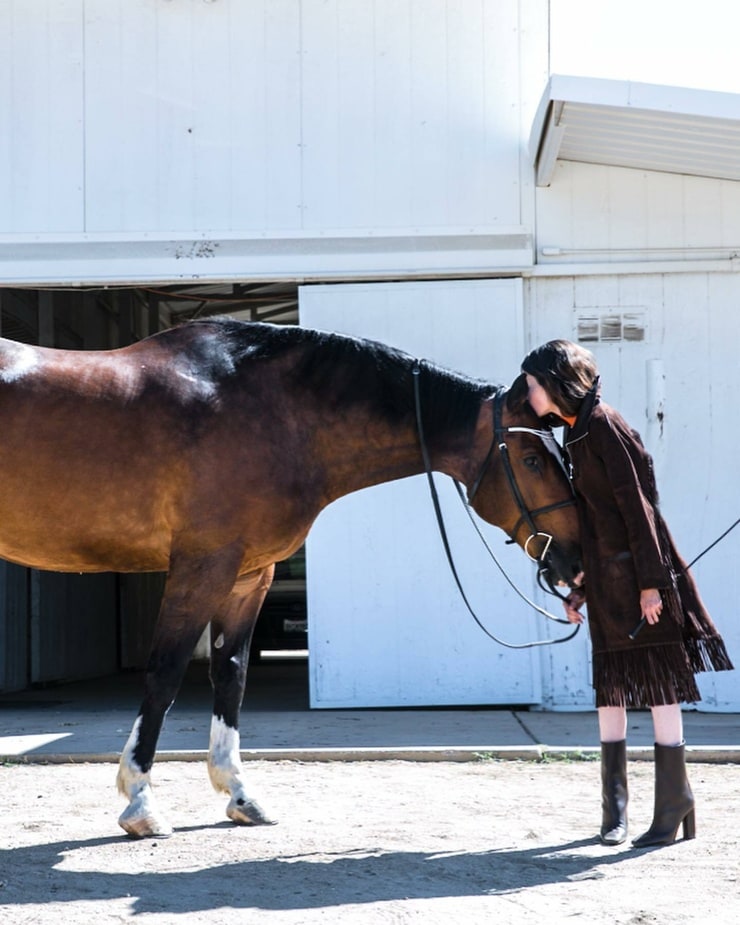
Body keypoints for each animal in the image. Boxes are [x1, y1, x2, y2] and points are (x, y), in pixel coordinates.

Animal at [0, 318, 580, 836]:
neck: (266, 411)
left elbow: (231, 675)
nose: (573, 561)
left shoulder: (249, 575)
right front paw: (140, 802)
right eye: (531, 458)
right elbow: (164, 674)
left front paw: (239, 794)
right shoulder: (202, 565)